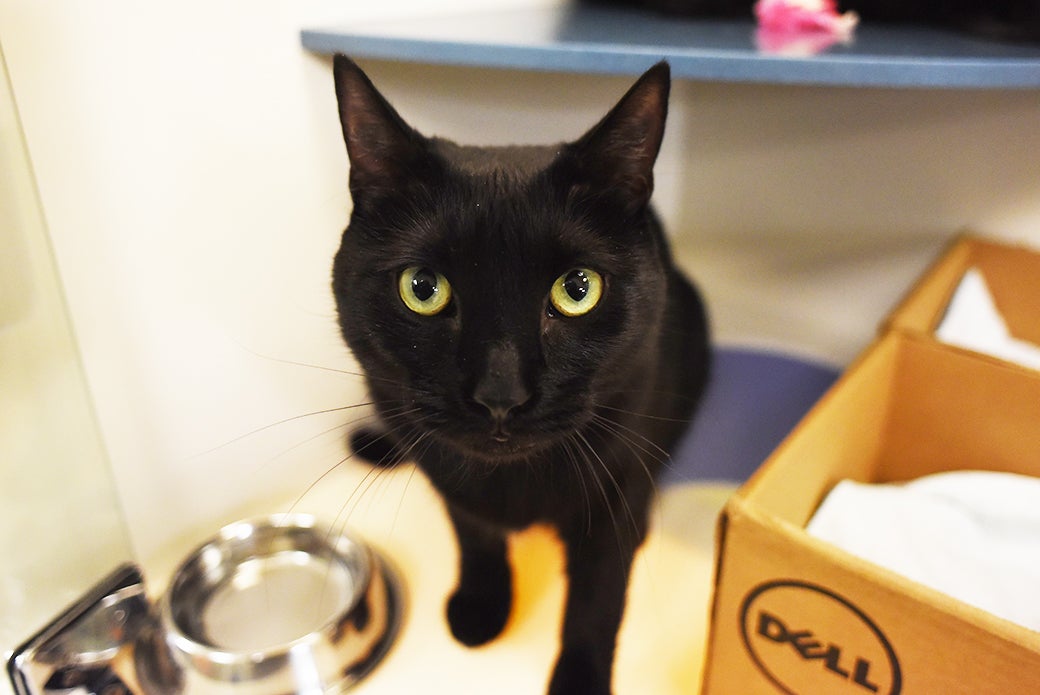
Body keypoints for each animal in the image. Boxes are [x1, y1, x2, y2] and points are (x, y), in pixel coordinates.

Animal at [329, 55, 709, 695]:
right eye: (422, 288)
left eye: (578, 289)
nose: (500, 395)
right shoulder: (452, 485)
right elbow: (475, 536)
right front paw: (482, 607)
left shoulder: (616, 488)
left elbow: (598, 597)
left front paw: (580, 679)